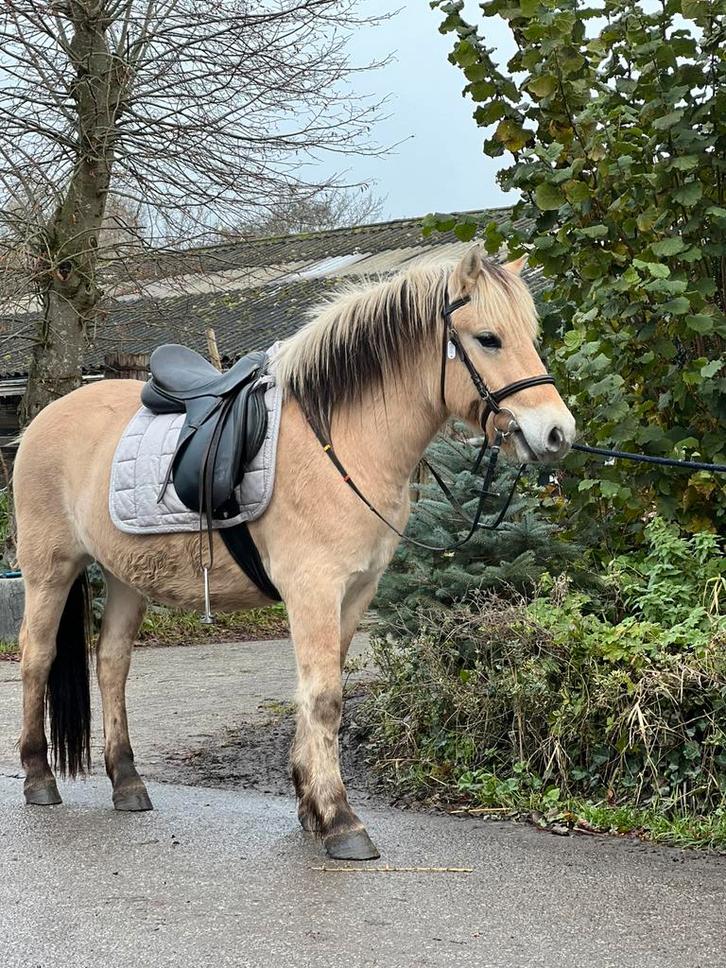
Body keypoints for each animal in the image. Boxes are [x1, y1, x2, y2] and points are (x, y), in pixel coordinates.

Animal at [13, 247, 575, 860]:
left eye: (530, 334)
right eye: (488, 338)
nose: (557, 433)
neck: (341, 440)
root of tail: (43, 419)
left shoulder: (354, 593)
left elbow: (318, 692)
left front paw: (311, 806)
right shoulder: (314, 589)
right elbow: (324, 697)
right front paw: (342, 821)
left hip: (125, 577)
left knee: (112, 664)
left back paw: (128, 782)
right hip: (49, 570)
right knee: (36, 657)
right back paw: (39, 776)